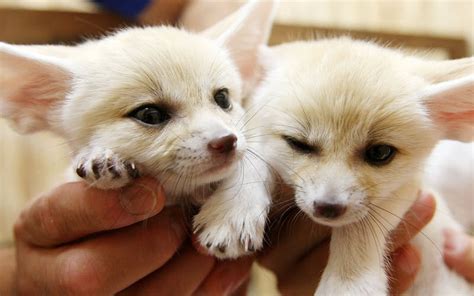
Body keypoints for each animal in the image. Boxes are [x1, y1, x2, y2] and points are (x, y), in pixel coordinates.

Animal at [250, 38, 472, 294]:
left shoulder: (408, 187)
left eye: (380, 153)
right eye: (298, 143)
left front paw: (348, 284)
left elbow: (359, 224)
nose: (328, 208)